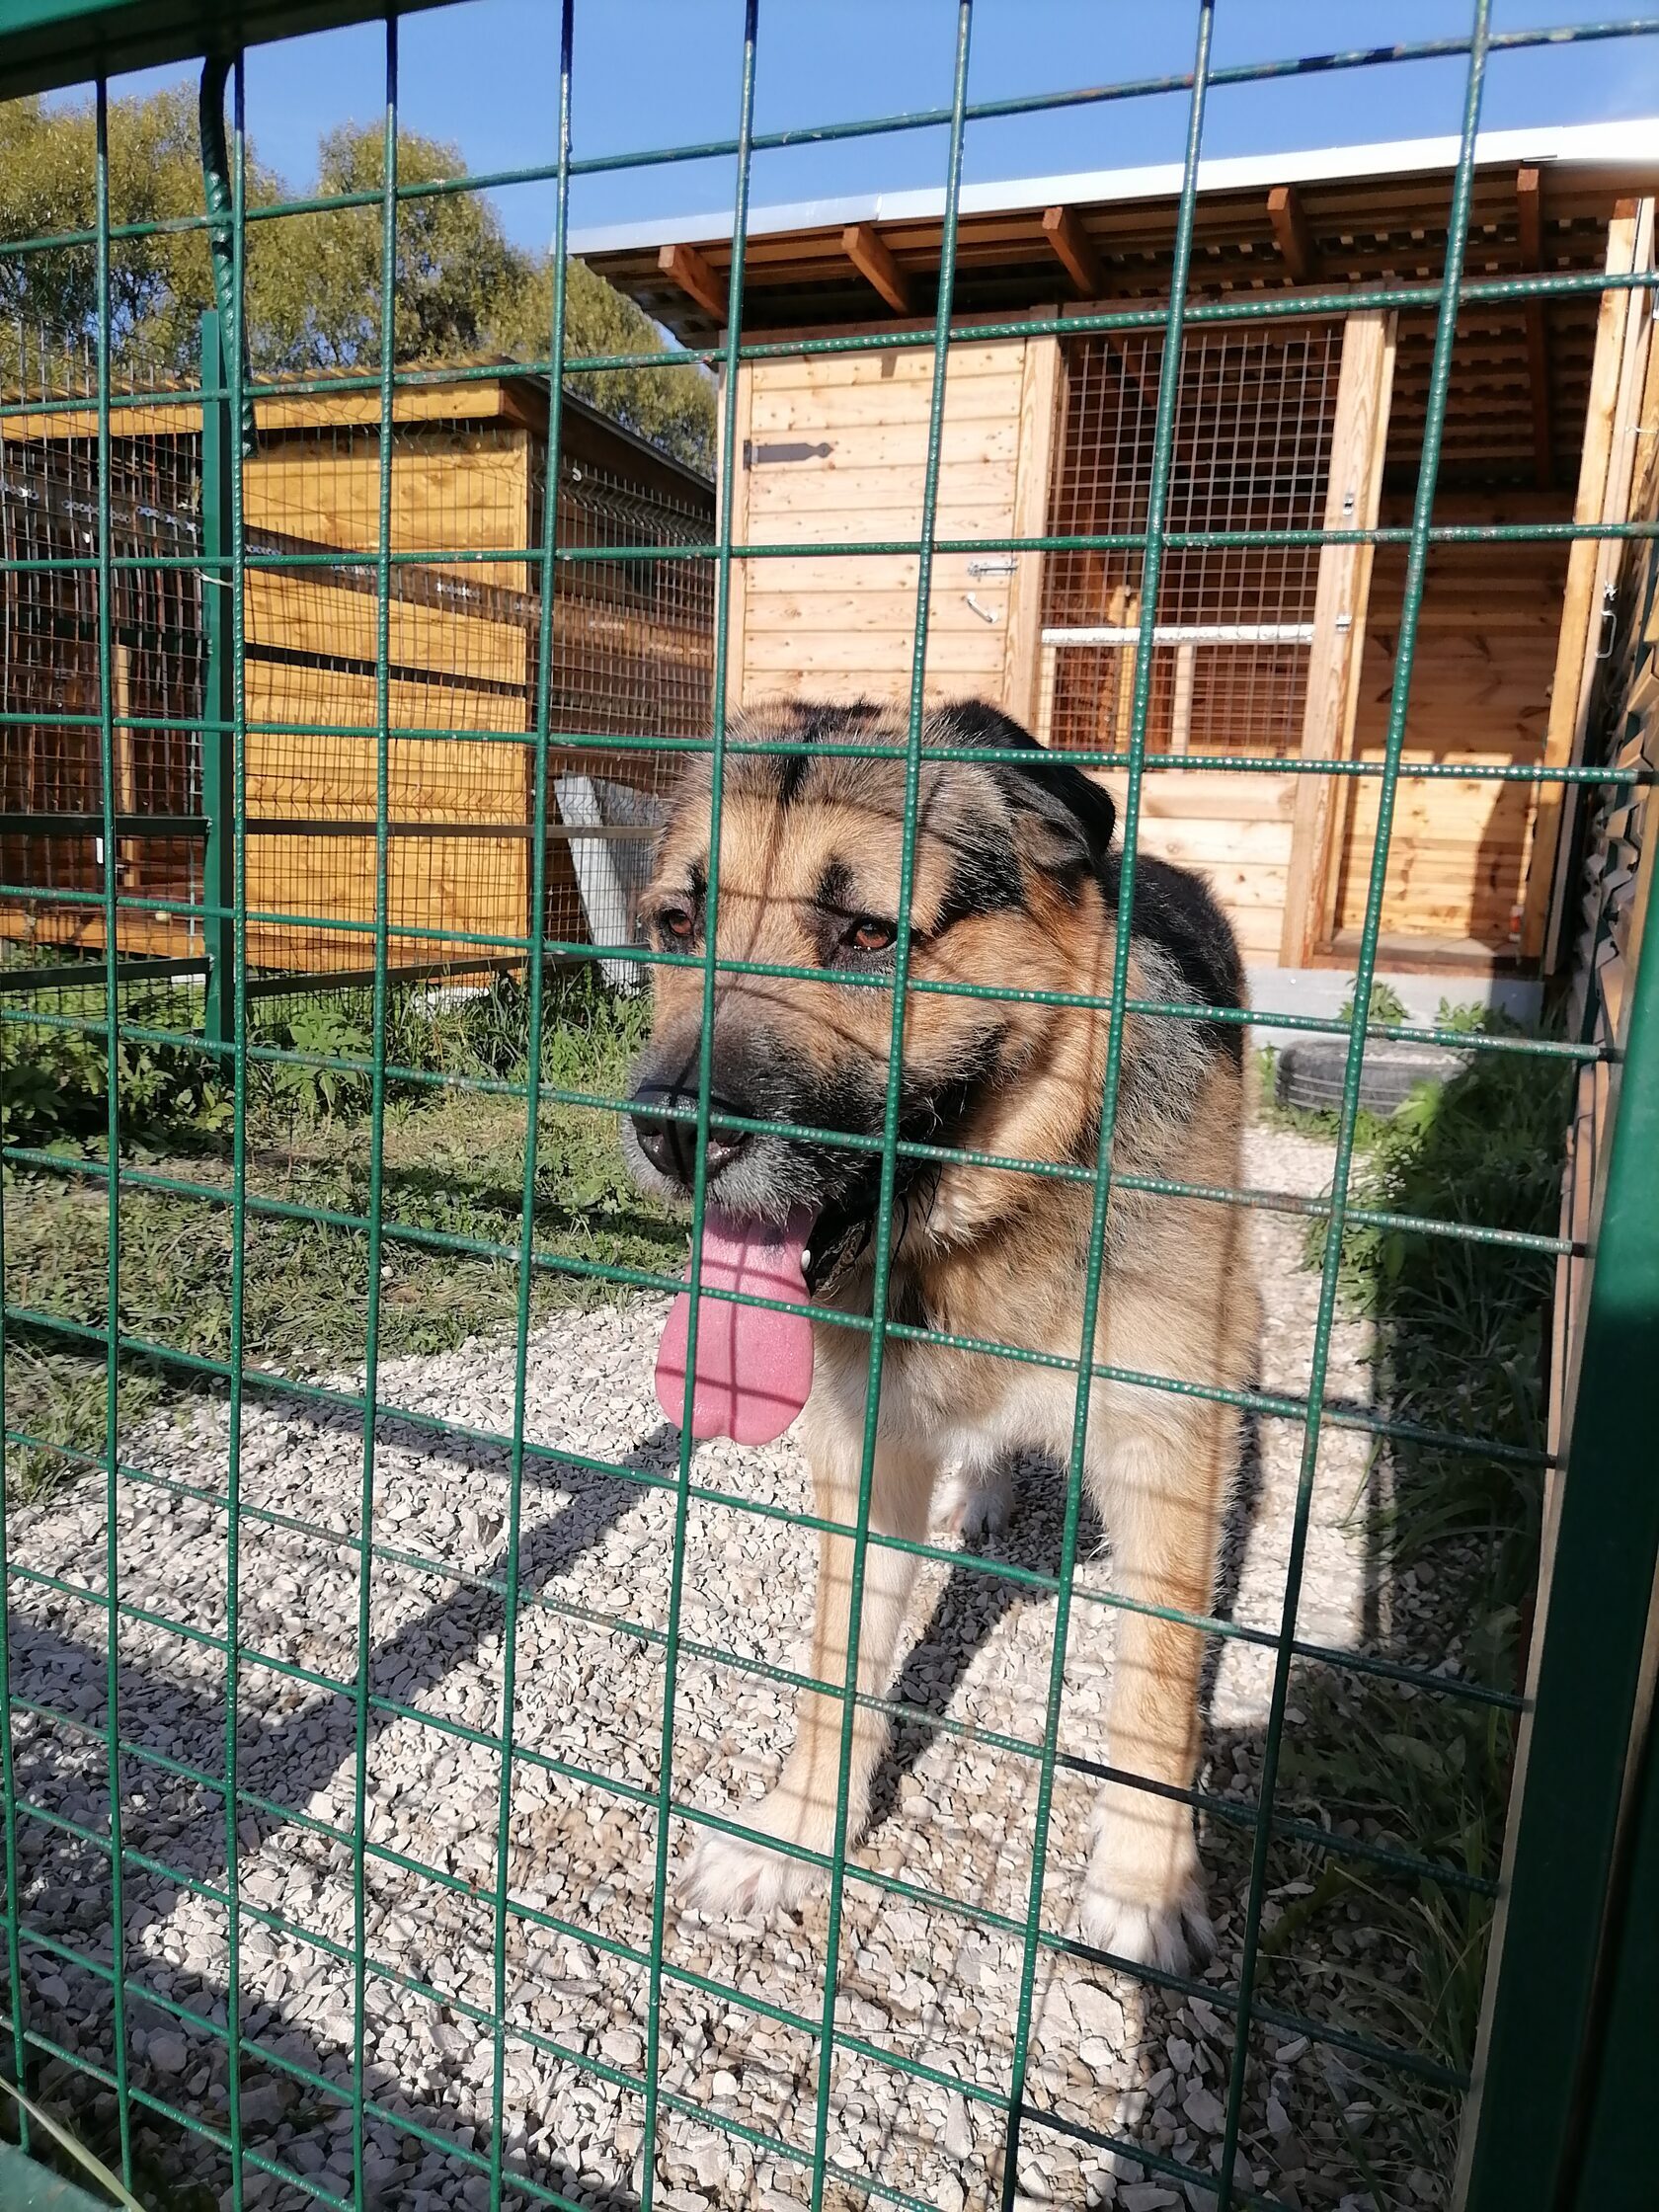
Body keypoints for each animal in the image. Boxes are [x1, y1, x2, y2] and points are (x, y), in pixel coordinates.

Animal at [623, 694, 1256, 1973]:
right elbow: (836, 1666)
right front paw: (799, 1829)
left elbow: (1156, 1687)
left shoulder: (1170, 1440)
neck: (982, 1226)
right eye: (678, 920)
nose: (667, 1129)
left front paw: (1144, 1880)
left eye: (868, 931)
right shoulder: (864, 1451)